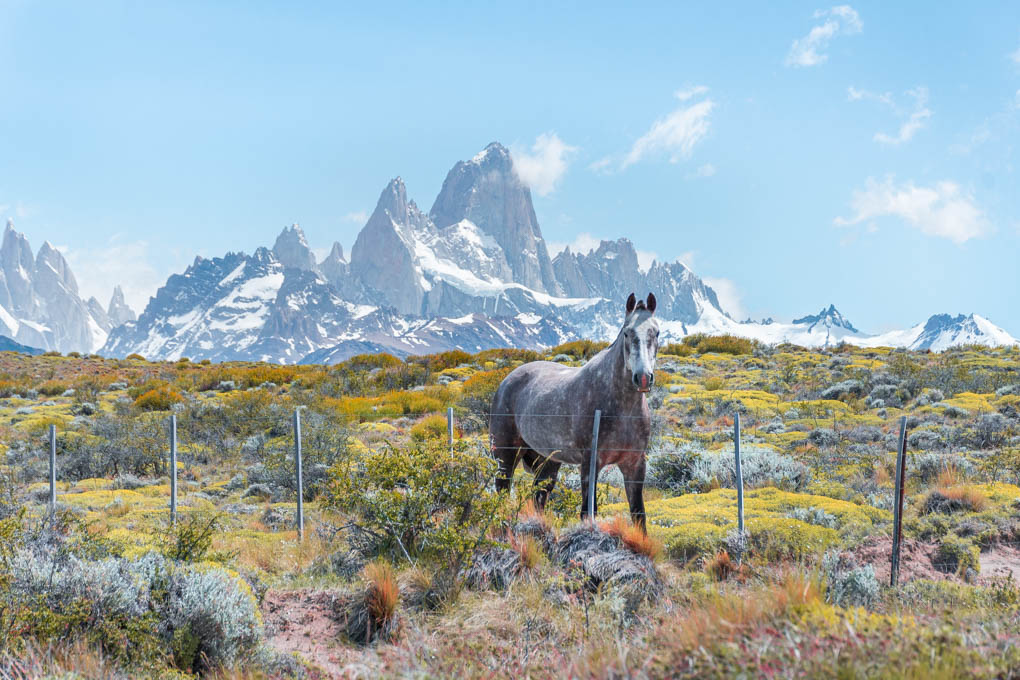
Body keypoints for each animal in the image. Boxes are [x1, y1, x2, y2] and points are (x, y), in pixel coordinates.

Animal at [490, 292, 660, 531]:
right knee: (503, 492)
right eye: (627, 332)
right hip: (506, 454)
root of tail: (506, 381)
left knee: (538, 495)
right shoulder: (590, 463)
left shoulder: (634, 464)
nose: (643, 378)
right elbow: (588, 511)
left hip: (548, 461)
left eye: (656, 332)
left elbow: (638, 515)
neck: (622, 409)